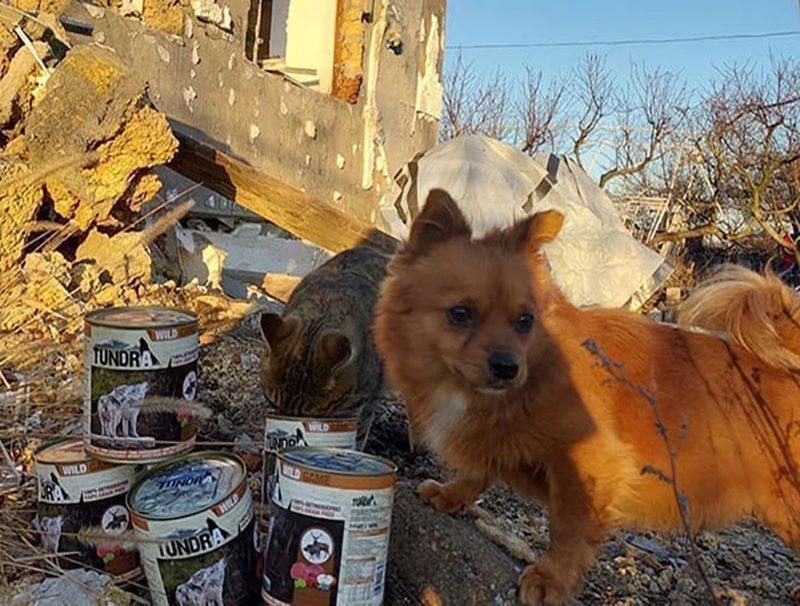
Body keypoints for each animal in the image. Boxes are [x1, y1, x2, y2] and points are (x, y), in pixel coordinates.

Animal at [374, 188, 800, 605]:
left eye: (525, 321)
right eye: (459, 314)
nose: (508, 366)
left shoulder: (588, 464)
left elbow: (568, 528)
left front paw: (550, 579)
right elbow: (477, 473)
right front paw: (449, 495)